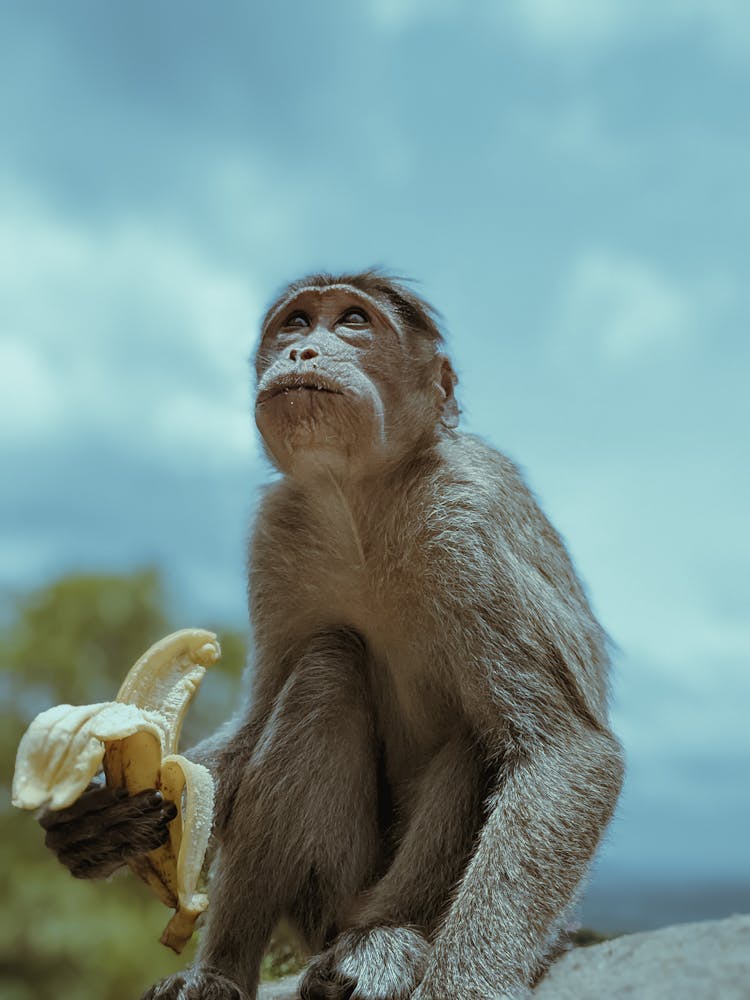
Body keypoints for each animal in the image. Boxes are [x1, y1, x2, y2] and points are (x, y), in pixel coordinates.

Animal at [42, 268, 628, 1000]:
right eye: (296, 323)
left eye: (353, 320)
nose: (302, 350)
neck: (359, 502)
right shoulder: (277, 531)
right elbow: (258, 716)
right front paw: (99, 821)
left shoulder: (468, 517)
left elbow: (566, 751)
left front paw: (464, 979)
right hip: (321, 898)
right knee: (327, 665)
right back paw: (220, 971)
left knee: (473, 736)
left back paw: (382, 942)